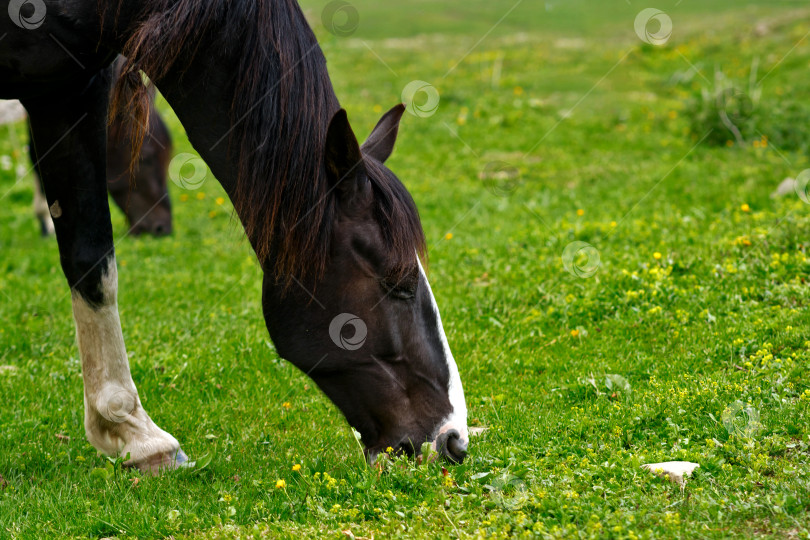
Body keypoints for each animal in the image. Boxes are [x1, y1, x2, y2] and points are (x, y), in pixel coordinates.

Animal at [0, 0, 468, 470]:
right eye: (399, 281)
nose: (454, 439)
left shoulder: (63, 89)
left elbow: (89, 257)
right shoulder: (73, 89)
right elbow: (94, 261)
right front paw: (137, 432)